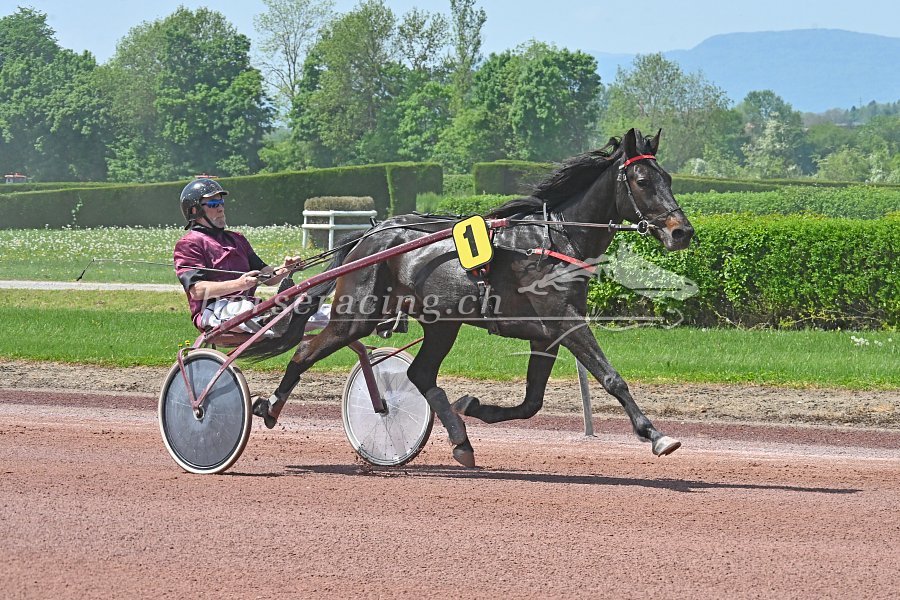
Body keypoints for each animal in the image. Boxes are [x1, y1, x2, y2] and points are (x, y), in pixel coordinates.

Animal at [248, 128, 694, 467]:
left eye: (669, 179)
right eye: (642, 181)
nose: (682, 231)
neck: (555, 239)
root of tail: (369, 235)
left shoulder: (546, 333)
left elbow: (532, 402)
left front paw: (475, 406)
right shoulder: (565, 320)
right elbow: (610, 377)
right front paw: (655, 434)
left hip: (440, 323)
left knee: (420, 374)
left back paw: (461, 439)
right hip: (357, 315)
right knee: (305, 352)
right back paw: (269, 406)